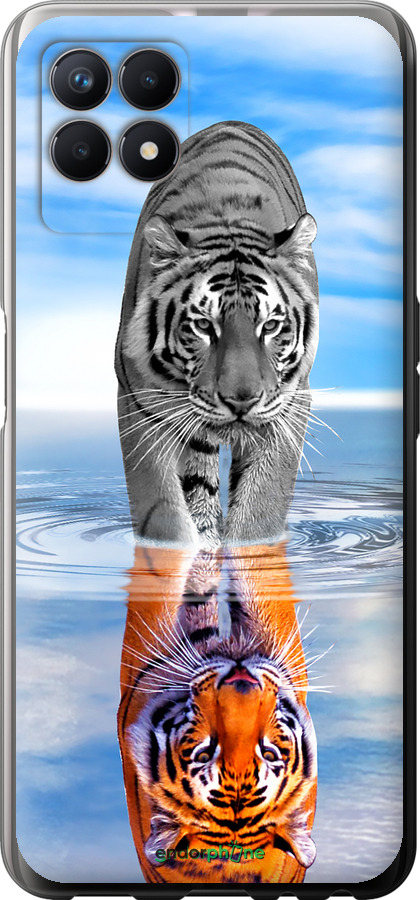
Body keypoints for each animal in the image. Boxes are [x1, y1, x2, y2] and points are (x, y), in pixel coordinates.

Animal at [115, 121, 319, 548]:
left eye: (270, 326)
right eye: (203, 325)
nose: (242, 401)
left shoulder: (290, 404)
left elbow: (261, 508)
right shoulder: (139, 401)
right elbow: (162, 511)